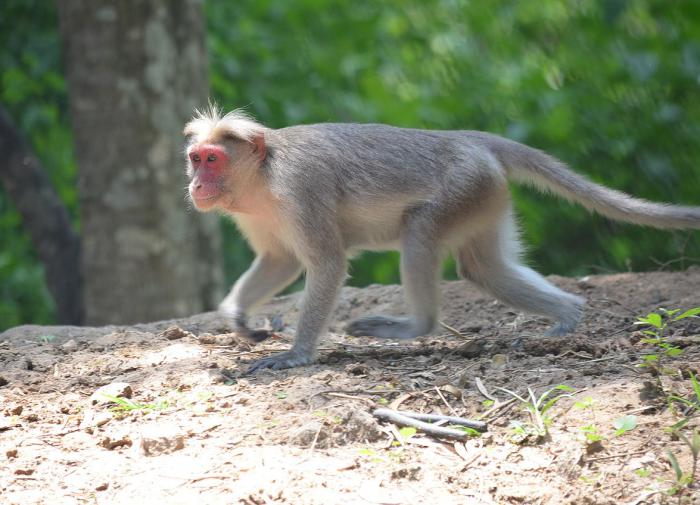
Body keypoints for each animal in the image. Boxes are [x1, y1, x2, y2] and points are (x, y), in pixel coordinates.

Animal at [182, 106, 700, 372]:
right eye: (196, 158)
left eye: (213, 159)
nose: (196, 185)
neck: (264, 176)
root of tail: (470, 139)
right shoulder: (256, 214)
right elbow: (279, 261)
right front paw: (238, 316)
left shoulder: (299, 189)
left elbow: (327, 263)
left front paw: (296, 356)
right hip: (485, 196)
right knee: (483, 268)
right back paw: (568, 315)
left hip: (461, 189)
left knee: (419, 234)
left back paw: (417, 326)